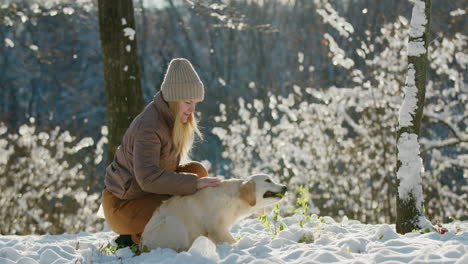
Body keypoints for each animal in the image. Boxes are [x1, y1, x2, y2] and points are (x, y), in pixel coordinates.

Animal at [140, 173, 286, 252]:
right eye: (268, 180)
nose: (285, 187)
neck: (234, 199)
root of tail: (142, 245)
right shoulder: (215, 226)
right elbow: (228, 239)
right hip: (171, 223)